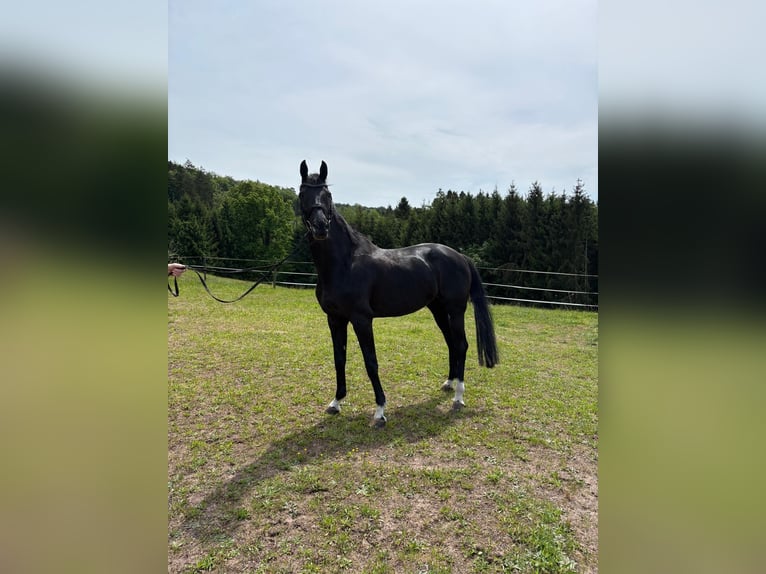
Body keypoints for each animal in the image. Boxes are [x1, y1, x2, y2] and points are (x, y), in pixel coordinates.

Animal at [298, 160, 499, 428]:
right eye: (302, 194)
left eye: (328, 194)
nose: (321, 227)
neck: (344, 264)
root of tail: (460, 256)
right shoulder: (335, 319)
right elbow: (339, 358)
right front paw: (336, 402)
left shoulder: (362, 320)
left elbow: (371, 362)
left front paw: (380, 411)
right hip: (437, 309)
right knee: (451, 344)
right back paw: (449, 383)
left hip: (456, 310)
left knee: (461, 344)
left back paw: (458, 397)